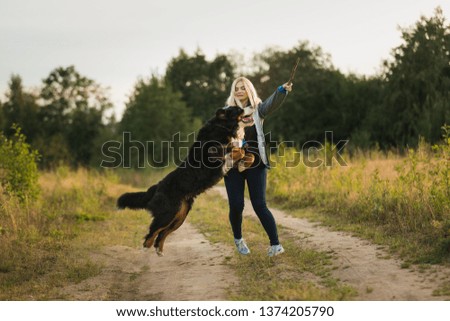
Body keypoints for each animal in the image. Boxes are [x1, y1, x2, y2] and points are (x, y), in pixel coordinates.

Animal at [118, 107, 255, 255]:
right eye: (239, 109)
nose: (252, 106)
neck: (224, 127)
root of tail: (157, 186)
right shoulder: (216, 158)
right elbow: (237, 151)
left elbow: (248, 153)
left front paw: (243, 165)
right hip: (167, 213)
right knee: (152, 233)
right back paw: (146, 249)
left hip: (180, 216)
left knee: (162, 233)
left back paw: (159, 250)